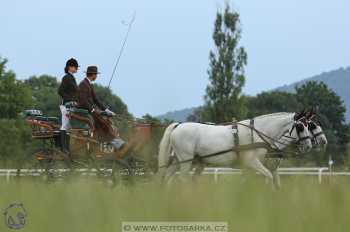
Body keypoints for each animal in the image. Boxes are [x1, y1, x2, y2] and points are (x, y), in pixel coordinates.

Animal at [158, 112, 312, 187]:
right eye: (300, 126)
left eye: (309, 125)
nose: (309, 145)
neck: (257, 132)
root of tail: (178, 125)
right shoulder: (252, 162)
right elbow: (268, 176)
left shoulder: (249, 167)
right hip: (186, 161)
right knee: (182, 179)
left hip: (178, 160)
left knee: (167, 177)